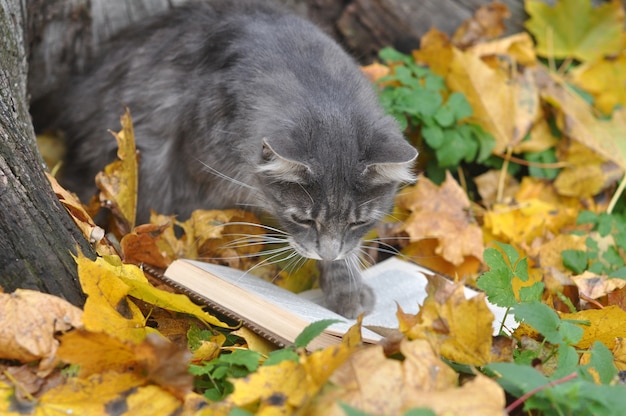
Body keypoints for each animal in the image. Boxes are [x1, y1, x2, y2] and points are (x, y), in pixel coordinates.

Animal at [42, 0, 414, 318]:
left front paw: (345, 286)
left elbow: (346, 253)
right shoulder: (193, 171)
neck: (321, 92)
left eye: (357, 223)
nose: (327, 251)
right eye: (304, 219)